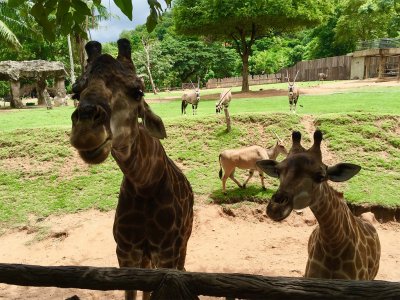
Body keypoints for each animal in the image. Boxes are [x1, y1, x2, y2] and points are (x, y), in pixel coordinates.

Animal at [69, 38, 195, 300]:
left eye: (138, 92)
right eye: (76, 92)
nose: (86, 132)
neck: (145, 184)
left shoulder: (167, 252)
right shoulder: (126, 251)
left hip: (184, 241)